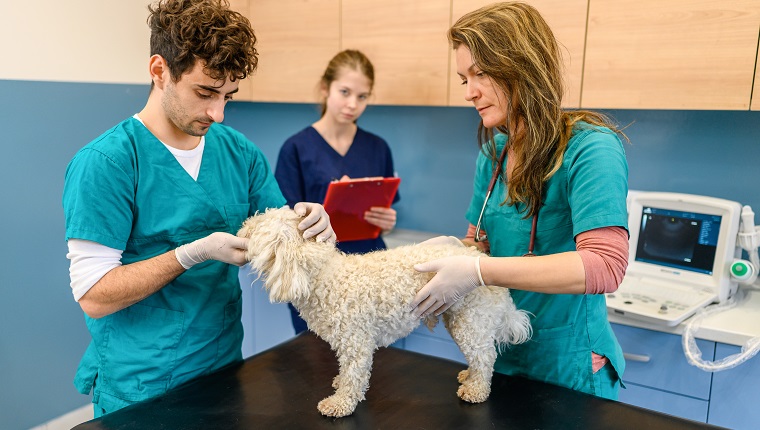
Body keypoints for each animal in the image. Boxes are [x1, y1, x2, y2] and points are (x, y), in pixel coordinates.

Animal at [240, 207, 532, 418]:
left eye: (259, 225)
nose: (242, 226)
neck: (323, 275)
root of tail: (482, 261)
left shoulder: (355, 342)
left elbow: (354, 375)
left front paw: (340, 404)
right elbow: (346, 373)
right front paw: (339, 384)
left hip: (470, 321)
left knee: (485, 357)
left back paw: (475, 388)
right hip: (457, 317)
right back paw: (468, 376)